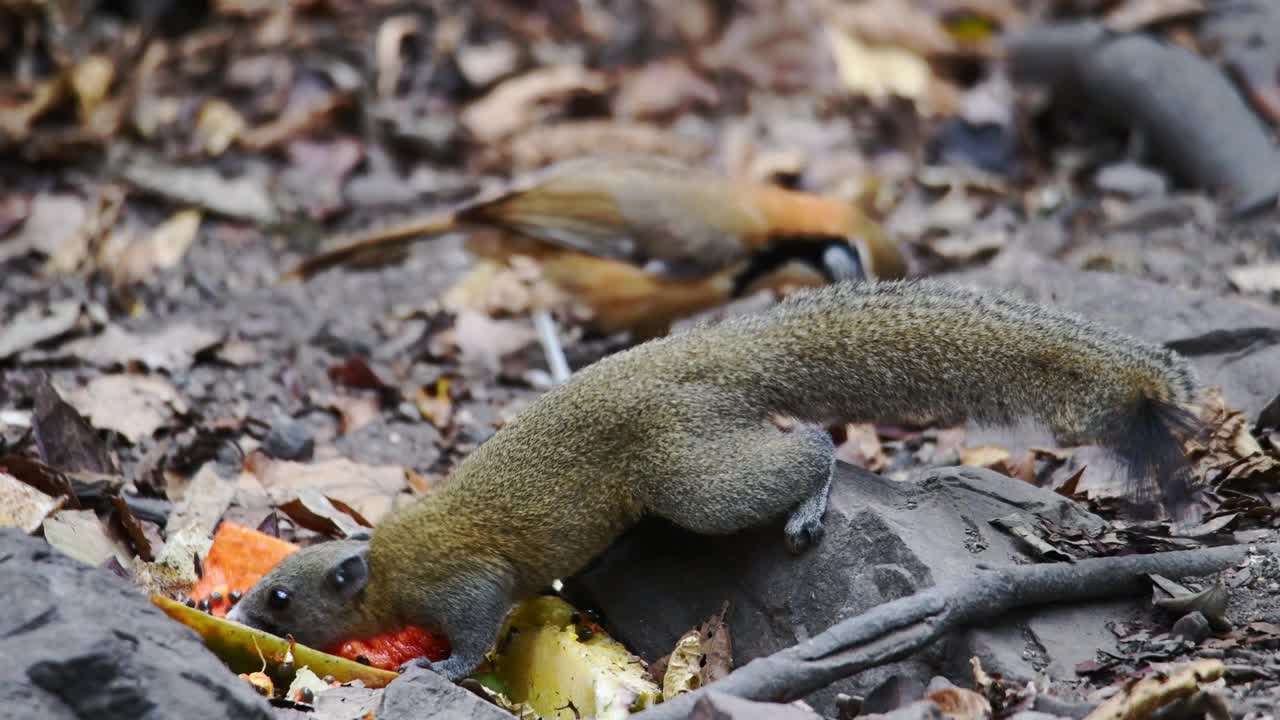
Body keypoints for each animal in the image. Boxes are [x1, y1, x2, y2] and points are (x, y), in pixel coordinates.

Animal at [227, 278, 1198, 681]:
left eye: (279, 596)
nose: (234, 612)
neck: (390, 563)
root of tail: (712, 355)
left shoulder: (463, 583)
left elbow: (474, 628)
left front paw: (447, 667)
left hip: (696, 479)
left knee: (812, 446)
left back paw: (810, 505)